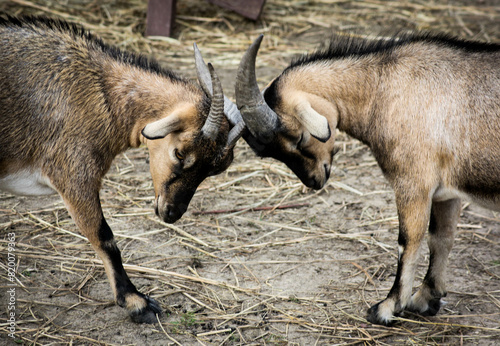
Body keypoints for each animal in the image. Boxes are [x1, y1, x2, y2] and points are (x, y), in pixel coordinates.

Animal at [0, 15, 245, 324]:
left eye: (213, 171)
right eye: (179, 153)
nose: (171, 212)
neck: (100, 91)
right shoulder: (72, 171)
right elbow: (104, 236)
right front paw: (136, 302)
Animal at [230, 33, 500, 326]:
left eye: (299, 138)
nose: (314, 180)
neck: (383, 87)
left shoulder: (413, 182)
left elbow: (409, 241)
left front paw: (386, 308)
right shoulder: (446, 193)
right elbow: (441, 239)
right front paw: (426, 299)